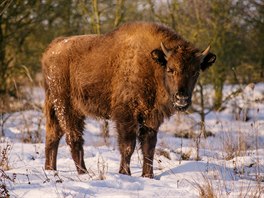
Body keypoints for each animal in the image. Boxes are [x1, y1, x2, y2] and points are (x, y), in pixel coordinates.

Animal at [40, 21, 214, 178]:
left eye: (195, 71)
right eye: (171, 69)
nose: (181, 98)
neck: (152, 65)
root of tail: (52, 49)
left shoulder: (151, 117)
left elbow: (149, 147)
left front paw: (148, 176)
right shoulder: (126, 115)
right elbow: (128, 146)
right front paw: (125, 173)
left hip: (58, 107)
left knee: (53, 135)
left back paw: (51, 170)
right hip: (66, 107)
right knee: (73, 138)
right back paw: (83, 173)